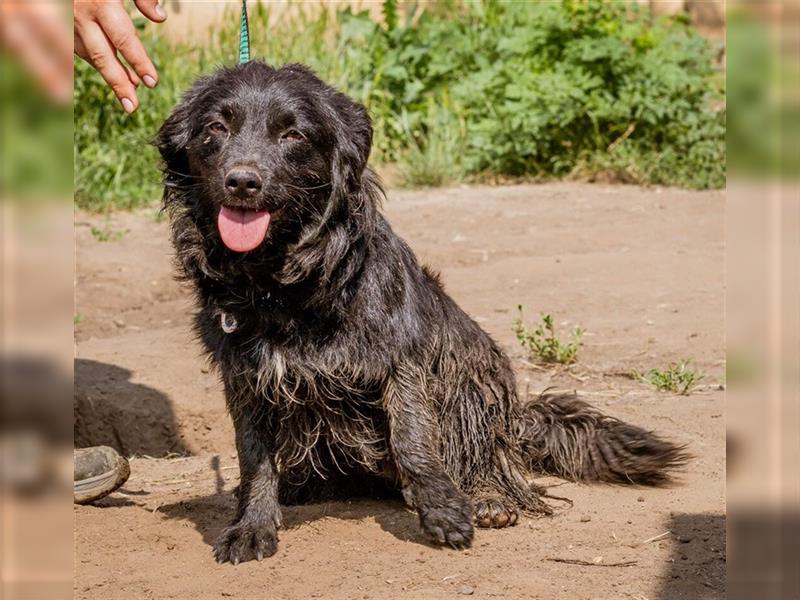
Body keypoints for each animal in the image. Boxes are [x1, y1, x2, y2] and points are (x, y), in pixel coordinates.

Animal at [158, 63, 688, 564]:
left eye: (293, 134)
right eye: (216, 128)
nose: (242, 181)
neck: (280, 286)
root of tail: (519, 420)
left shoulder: (403, 359)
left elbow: (413, 440)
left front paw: (442, 508)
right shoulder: (245, 374)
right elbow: (254, 458)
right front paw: (251, 525)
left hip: (472, 380)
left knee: (486, 457)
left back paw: (490, 497)